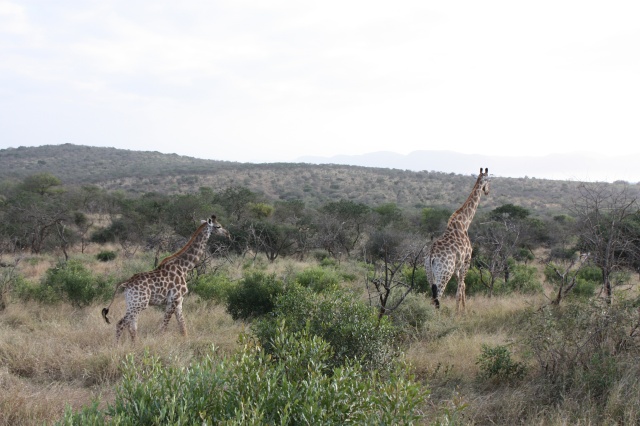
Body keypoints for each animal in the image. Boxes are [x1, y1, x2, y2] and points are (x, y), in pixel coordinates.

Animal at [102, 214, 230, 342]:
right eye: (218, 226)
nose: (228, 234)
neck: (184, 267)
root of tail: (126, 283)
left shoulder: (179, 301)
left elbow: (183, 327)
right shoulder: (173, 299)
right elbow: (163, 327)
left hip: (132, 303)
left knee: (132, 326)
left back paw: (134, 345)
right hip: (139, 304)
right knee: (121, 323)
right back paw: (117, 346)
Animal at [425, 168, 490, 311]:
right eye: (489, 180)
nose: (487, 191)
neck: (464, 223)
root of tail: (431, 255)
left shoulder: (457, 266)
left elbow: (463, 286)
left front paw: (463, 310)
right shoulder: (466, 261)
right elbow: (459, 291)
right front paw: (458, 312)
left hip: (429, 273)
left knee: (432, 298)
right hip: (444, 273)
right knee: (438, 298)